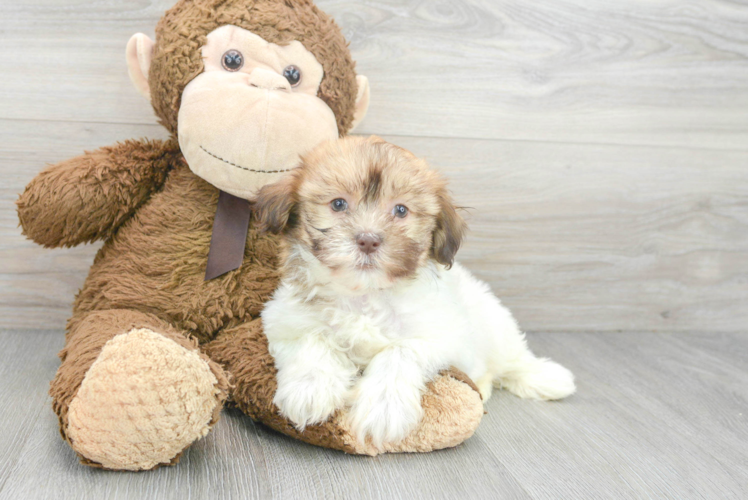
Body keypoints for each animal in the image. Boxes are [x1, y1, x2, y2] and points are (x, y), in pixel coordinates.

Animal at [254, 135, 576, 448]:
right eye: (338, 204)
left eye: (400, 210)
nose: (368, 239)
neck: (365, 294)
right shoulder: (284, 320)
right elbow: (313, 339)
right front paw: (309, 390)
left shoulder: (443, 335)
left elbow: (400, 350)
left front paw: (384, 408)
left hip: (495, 325)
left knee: (511, 361)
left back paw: (547, 378)